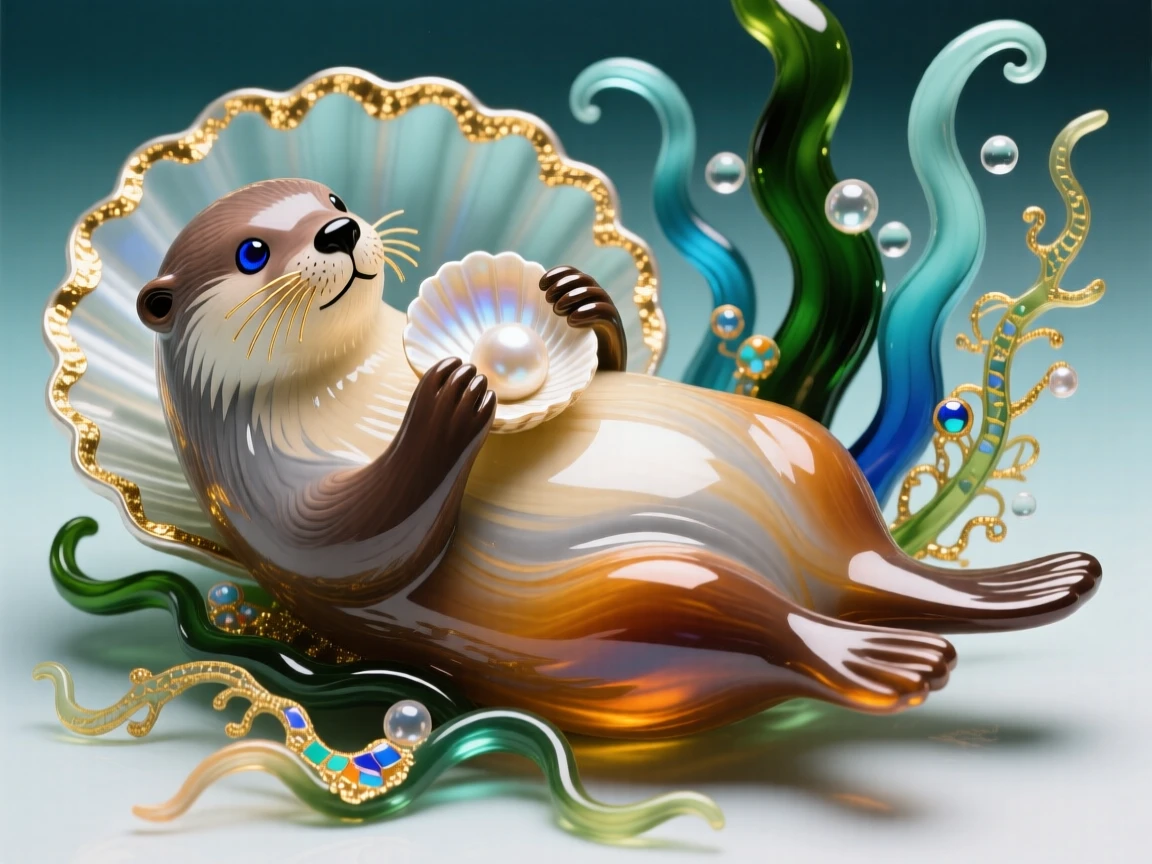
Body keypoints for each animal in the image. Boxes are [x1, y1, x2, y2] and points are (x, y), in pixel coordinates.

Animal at [137, 178, 1101, 739]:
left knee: (889, 568)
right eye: (252, 252)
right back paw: (890, 660)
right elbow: (345, 552)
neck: (349, 385)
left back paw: (1040, 584)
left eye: (331, 193)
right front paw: (447, 402)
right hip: (640, 600)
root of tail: (826, 569)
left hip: (801, 444)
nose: (337, 230)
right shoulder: (260, 493)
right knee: (772, 627)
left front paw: (580, 298)